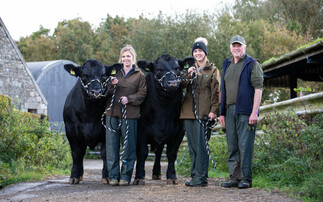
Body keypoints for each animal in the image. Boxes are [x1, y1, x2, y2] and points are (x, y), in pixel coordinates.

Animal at [134, 53, 195, 185]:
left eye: (177, 68)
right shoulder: (140, 129)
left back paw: (157, 173)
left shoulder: (179, 131)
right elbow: (142, 153)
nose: (172, 83)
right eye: (158, 69)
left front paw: (172, 177)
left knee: (158, 152)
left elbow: (171, 154)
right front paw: (139, 177)